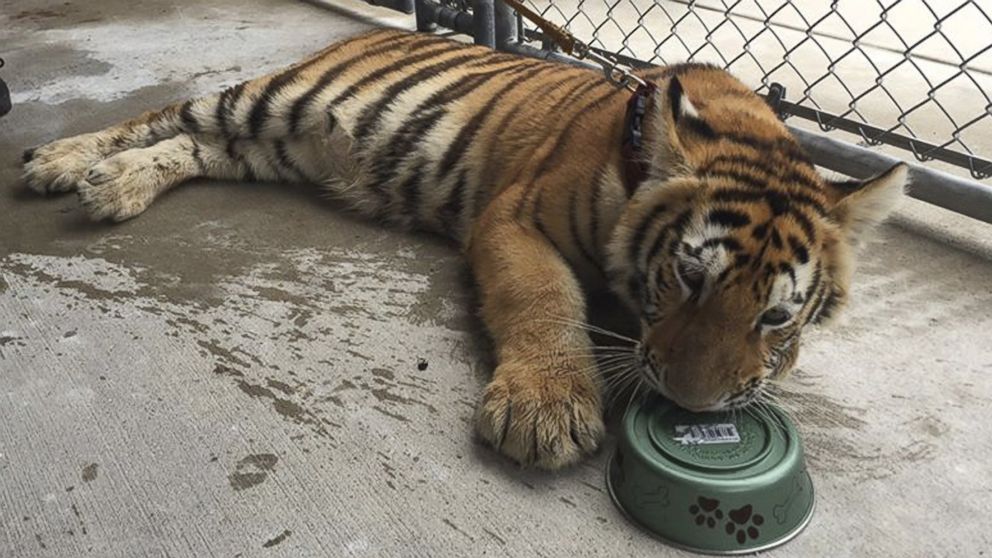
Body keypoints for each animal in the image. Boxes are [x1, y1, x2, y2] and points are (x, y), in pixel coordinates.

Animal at [21, 28, 906, 470]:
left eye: (775, 317)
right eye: (688, 276)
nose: (690, 407)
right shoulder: (515, 220)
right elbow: (545, 301)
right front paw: (547, 409)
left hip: (268, 147)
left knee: (188, 148)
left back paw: (115, 186)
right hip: (263, 101)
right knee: (159, 116)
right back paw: (62, 162)